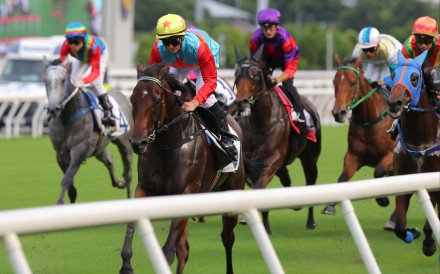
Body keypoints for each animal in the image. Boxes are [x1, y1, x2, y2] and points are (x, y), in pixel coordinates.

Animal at [45, 58, 135, 204]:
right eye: (45, 81)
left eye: (63, 80)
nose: (53, 108)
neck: (68, 116)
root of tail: (123, 96)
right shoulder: (60, 154)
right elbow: (71, 189)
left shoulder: (79, 150)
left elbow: (66, 180)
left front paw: (59, 203)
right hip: (98, 147)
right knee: (109, 159)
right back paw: (118, 182)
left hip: (125, 143)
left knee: (128, 172)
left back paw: (128, 195)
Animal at [118, 62, 246, 274]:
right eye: (132, 99)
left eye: (156, 101)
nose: (138, 143)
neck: (168, 144)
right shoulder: (144, 188)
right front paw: (126, 264)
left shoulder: (186, 191)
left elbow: (167, 253)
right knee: (184, 250)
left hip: (233, 191)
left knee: (227, 238)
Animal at [234, 45, 324, 233]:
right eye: (236, 73)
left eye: (255, 73)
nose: (241, 102)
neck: (261, 121)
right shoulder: (252, 162)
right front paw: (264, 223)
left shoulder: (272, 159)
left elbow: (260, 188)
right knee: (286, 177)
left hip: (310, 158)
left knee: (311, 181)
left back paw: (310, 221)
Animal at [320, 54, 396, 217]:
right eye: (334, 82)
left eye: (353, 82)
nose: (338, 113)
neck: (370, 120)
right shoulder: (353, 155)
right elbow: (342, 178)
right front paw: (330, 205)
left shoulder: (390, 156)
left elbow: (379, 172)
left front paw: (383, 199)